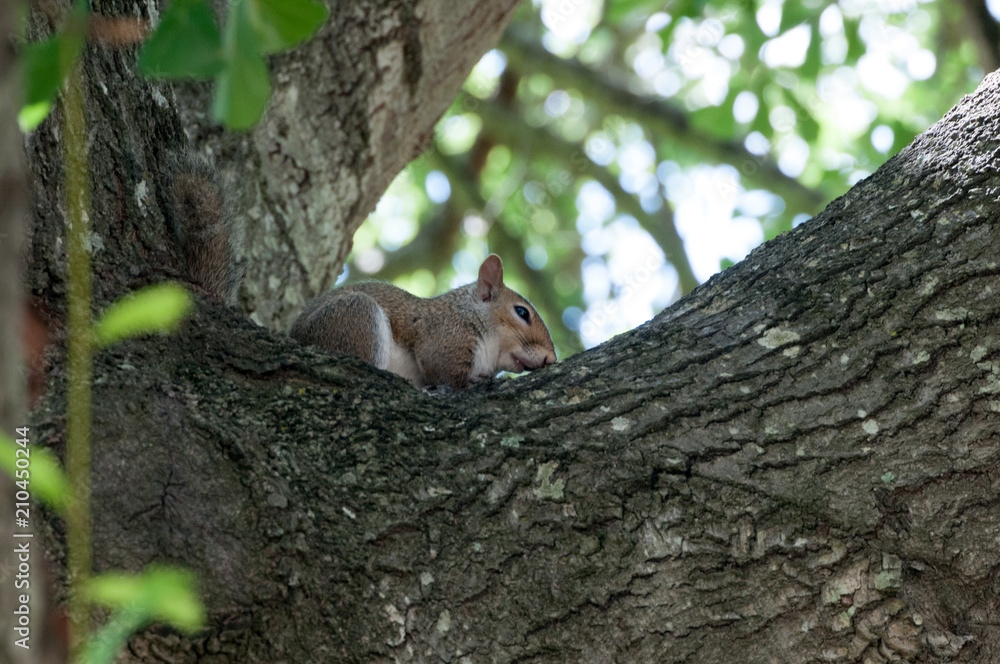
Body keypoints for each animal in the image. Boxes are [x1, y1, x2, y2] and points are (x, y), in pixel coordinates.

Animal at [289, 255, 557, 388]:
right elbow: (444, 372)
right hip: (356, 317)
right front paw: (475, 381)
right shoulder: (447, 336)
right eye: (522, 312)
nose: (551, 359)